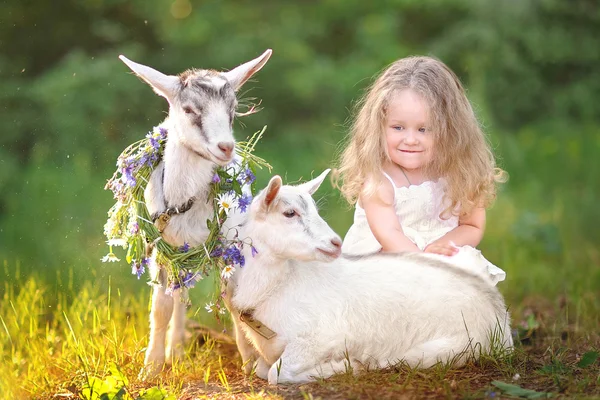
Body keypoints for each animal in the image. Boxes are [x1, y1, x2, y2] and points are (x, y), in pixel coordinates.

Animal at [118, 48, 272, 376]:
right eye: (189, 110)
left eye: (233, 109)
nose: (225, 147)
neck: (183, 202)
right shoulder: (160, 247)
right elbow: (161, 305)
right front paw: (151, 367)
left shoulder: (227, 245)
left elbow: (232, 300)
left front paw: (249, 361)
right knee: (179, 293)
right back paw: (175, 350)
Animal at [223, 170, 512, 384]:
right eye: (289, 213)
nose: (335, 243)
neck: (278, 288)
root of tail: (500, 318)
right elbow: (262, 368)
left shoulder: (319, 337)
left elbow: (275, 373)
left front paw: (344, 365)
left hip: (452, 346)